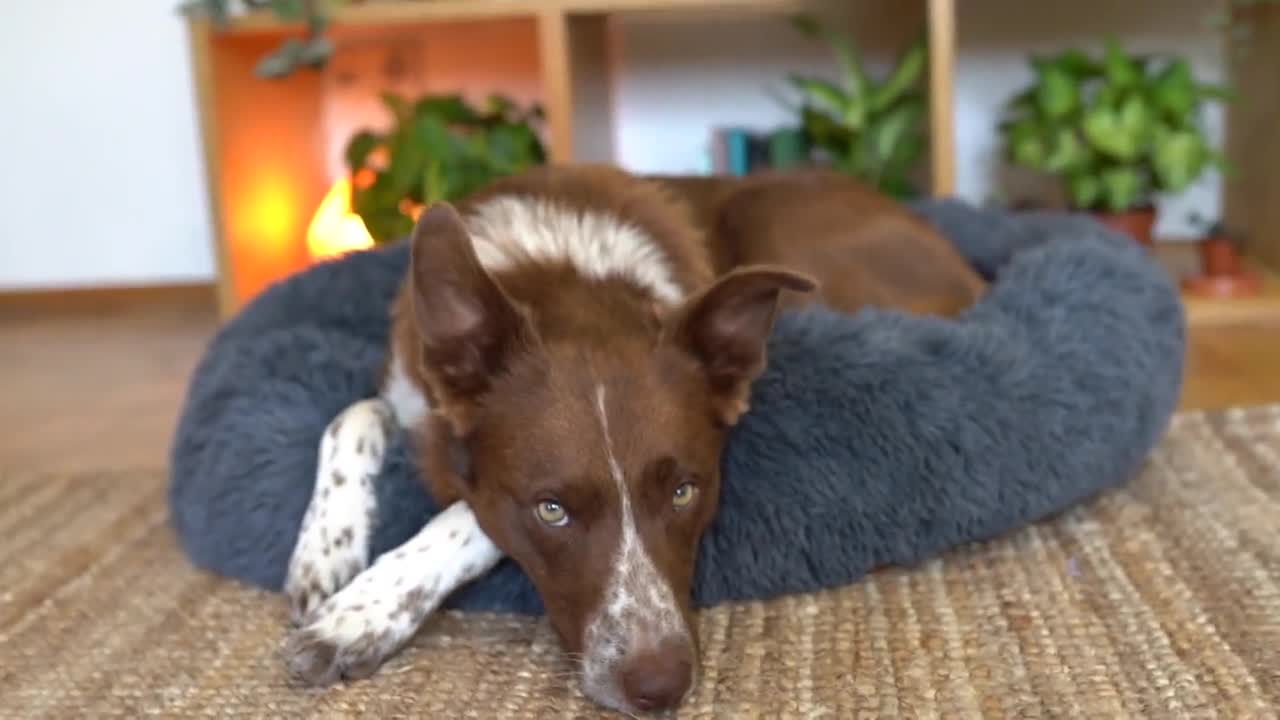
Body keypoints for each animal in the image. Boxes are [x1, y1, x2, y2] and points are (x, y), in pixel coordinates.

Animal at [277, 163, 977, 712]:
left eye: (685, 492)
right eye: (552, 510)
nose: (660, 689)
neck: (568, 278)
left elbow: (466, 517)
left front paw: (357, 615)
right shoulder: (410, 391)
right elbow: (350, 417)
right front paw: (325, 555)